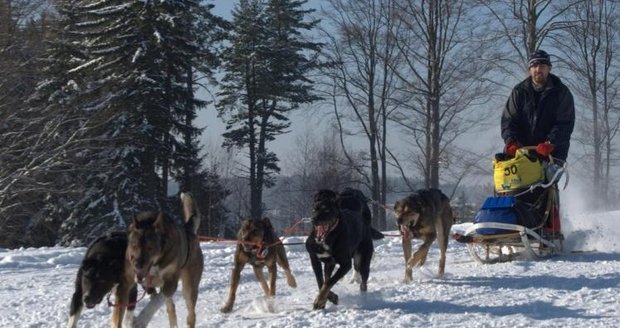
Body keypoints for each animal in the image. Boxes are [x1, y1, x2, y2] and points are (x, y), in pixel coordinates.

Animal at [127, 192, 205, 328]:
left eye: (150, 248)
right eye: (134, 245)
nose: (137, 264)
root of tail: (188, 231)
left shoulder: (171, 281)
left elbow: (157, 300)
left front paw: (141, 320)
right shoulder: (143, 281)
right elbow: (154, 296)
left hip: (189, 288)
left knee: (191, 314)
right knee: (171, 308)